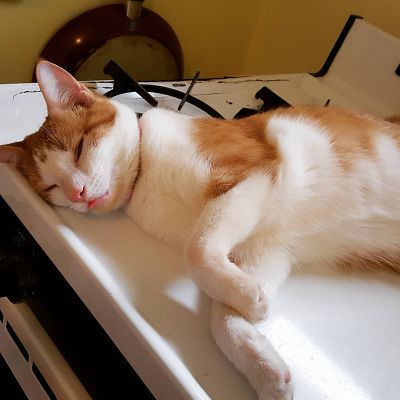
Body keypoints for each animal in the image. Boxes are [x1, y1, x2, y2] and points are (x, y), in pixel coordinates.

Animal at [0, 60, 400, 400]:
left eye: (80, 148)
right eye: (51, 187)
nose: (78, 194)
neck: (145, 176)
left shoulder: (253, 175)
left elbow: (197, 250)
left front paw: (246, 303)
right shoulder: (268, 247)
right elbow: (222, 318)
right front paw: (263, 361)